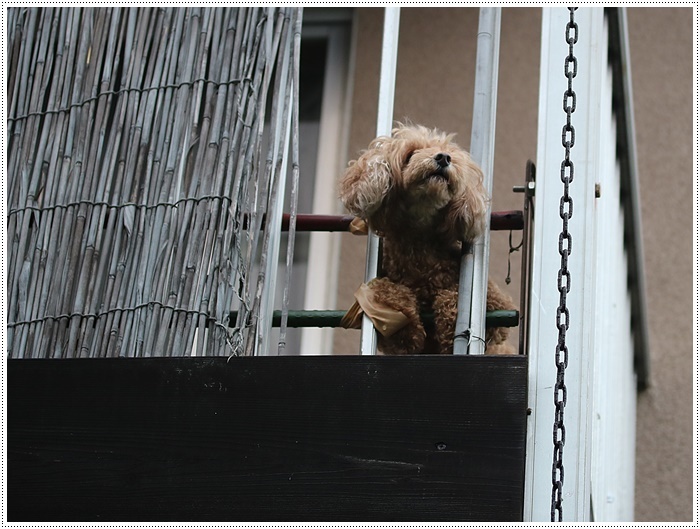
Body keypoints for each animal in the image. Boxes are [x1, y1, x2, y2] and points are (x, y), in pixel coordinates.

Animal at [340, 124, 516, 354]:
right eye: (411, 153)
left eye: (449, 154)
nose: (443, 158)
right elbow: (383, 291)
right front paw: (406, 328)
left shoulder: (499, 307)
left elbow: (455, 295)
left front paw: (451, 326)